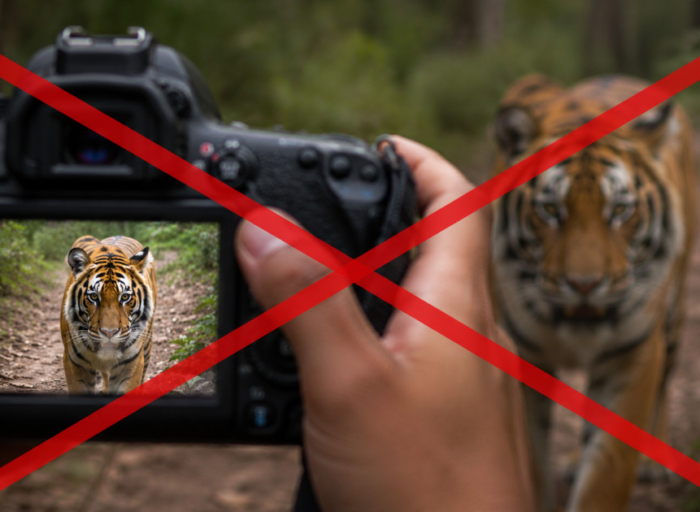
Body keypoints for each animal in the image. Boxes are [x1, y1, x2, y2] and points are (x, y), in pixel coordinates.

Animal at [489, 74, 696, 512]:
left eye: (619, 210)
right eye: (550, 210)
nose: (584, 285)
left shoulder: (632, 354)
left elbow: (606, 472)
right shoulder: (521, 354)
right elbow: (531, 460)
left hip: (673, 315)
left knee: (666, 381)